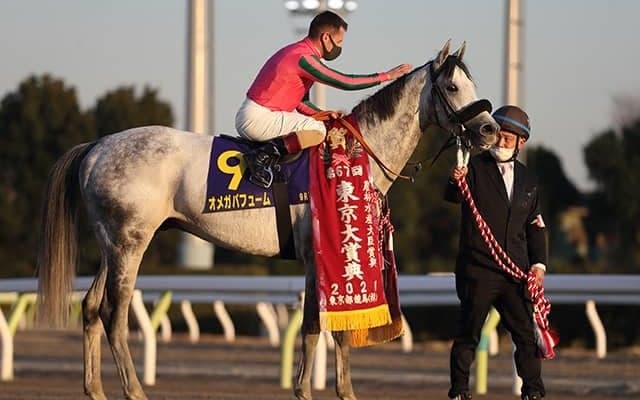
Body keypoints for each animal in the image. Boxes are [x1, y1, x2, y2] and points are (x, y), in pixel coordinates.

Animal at [36, 40, 498, 400]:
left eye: (474, 84)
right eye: (453, 86)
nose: (490, 130)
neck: (353, 155)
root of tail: (96, 147)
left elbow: (333, 327)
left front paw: (340, 390)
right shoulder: (320, 255)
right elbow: (316, 327)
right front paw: (308, 389)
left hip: (110, 244)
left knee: (91, 308)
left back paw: (95, 388)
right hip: (131, 241)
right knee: (114, 314)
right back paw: (134, 389)